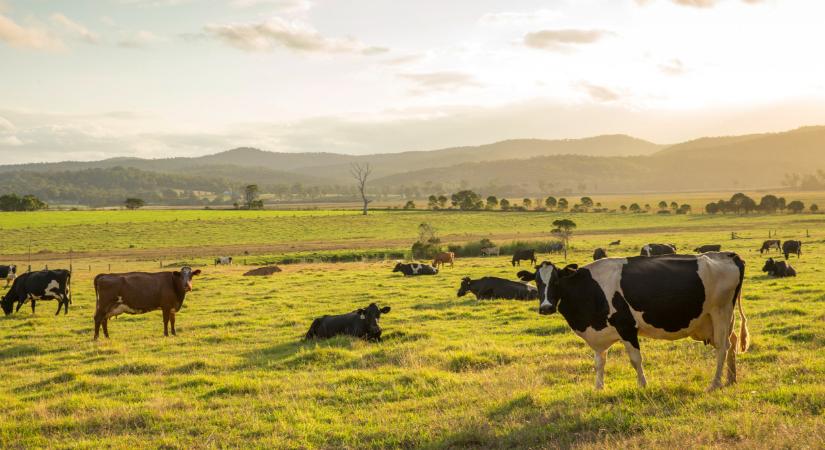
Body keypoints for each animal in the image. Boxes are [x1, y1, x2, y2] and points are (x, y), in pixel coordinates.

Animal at [520, 253, 748, 390]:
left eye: (556, 281)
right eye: (537, 282)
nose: (546, 307)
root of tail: (727, 255)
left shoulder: (626, 327)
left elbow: (635, 359)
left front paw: (643, 385)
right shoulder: (600, 334)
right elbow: (599, 362)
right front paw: (598, 388)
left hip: (720, 312)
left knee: (722, 348)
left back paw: (715, 383)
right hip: (718, 318)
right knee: (732, 342)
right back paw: (731, 379)